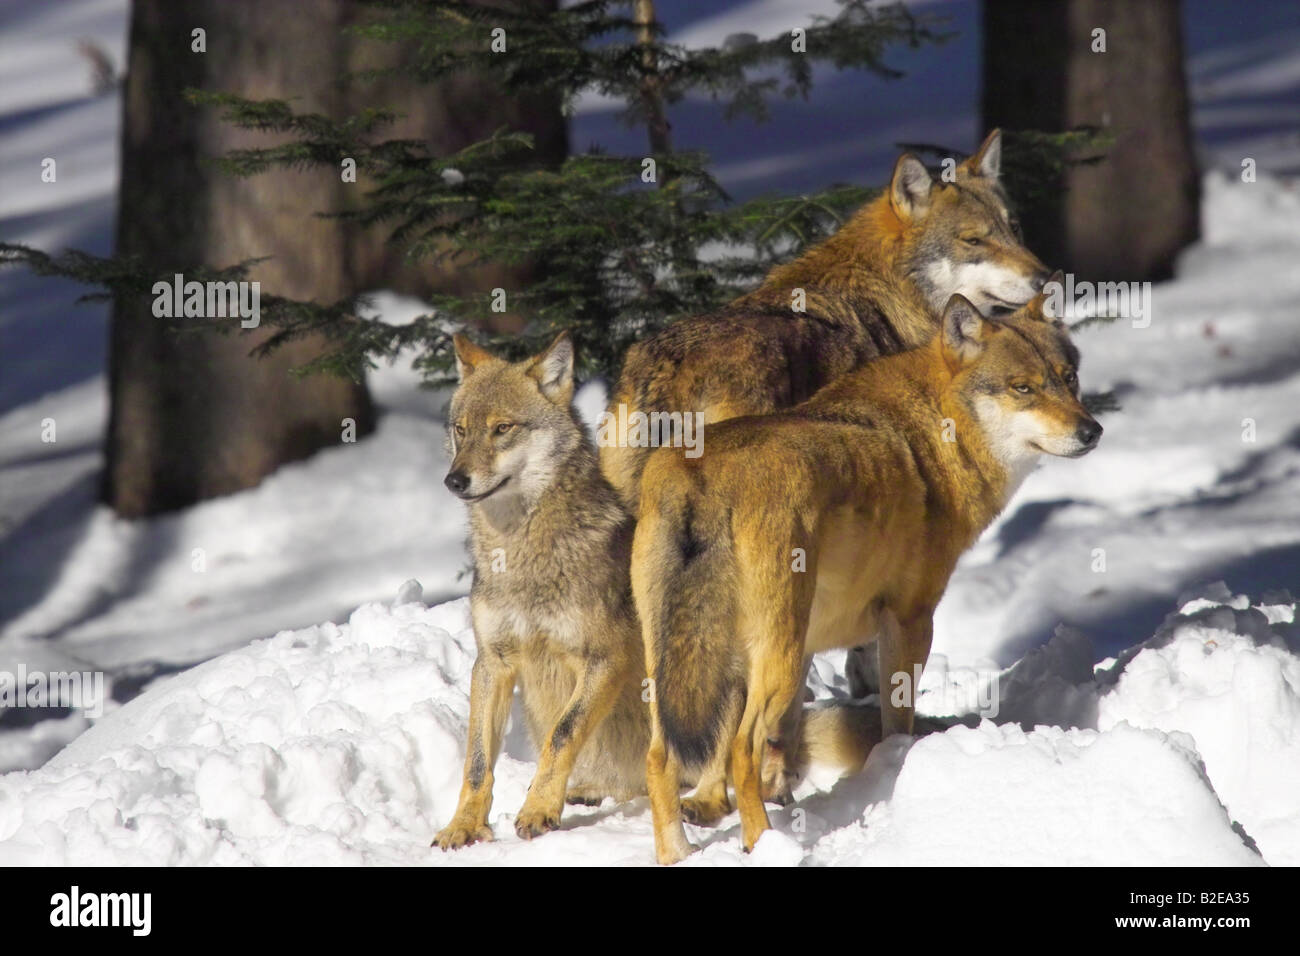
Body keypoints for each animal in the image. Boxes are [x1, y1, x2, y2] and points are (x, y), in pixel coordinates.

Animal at [634, 291, 1102, 868]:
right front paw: (894, 766)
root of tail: (697, 474)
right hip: (769, 659)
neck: (936, 436)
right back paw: (764, 844)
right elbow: (895, 718)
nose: (1092, 430)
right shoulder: (909, 620)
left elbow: (786, 739)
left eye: (1068, 378)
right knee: (740, 748)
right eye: (1023, 388)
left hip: (683, 668)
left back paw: (677, 855)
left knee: (660, 758)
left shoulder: (814, 645)